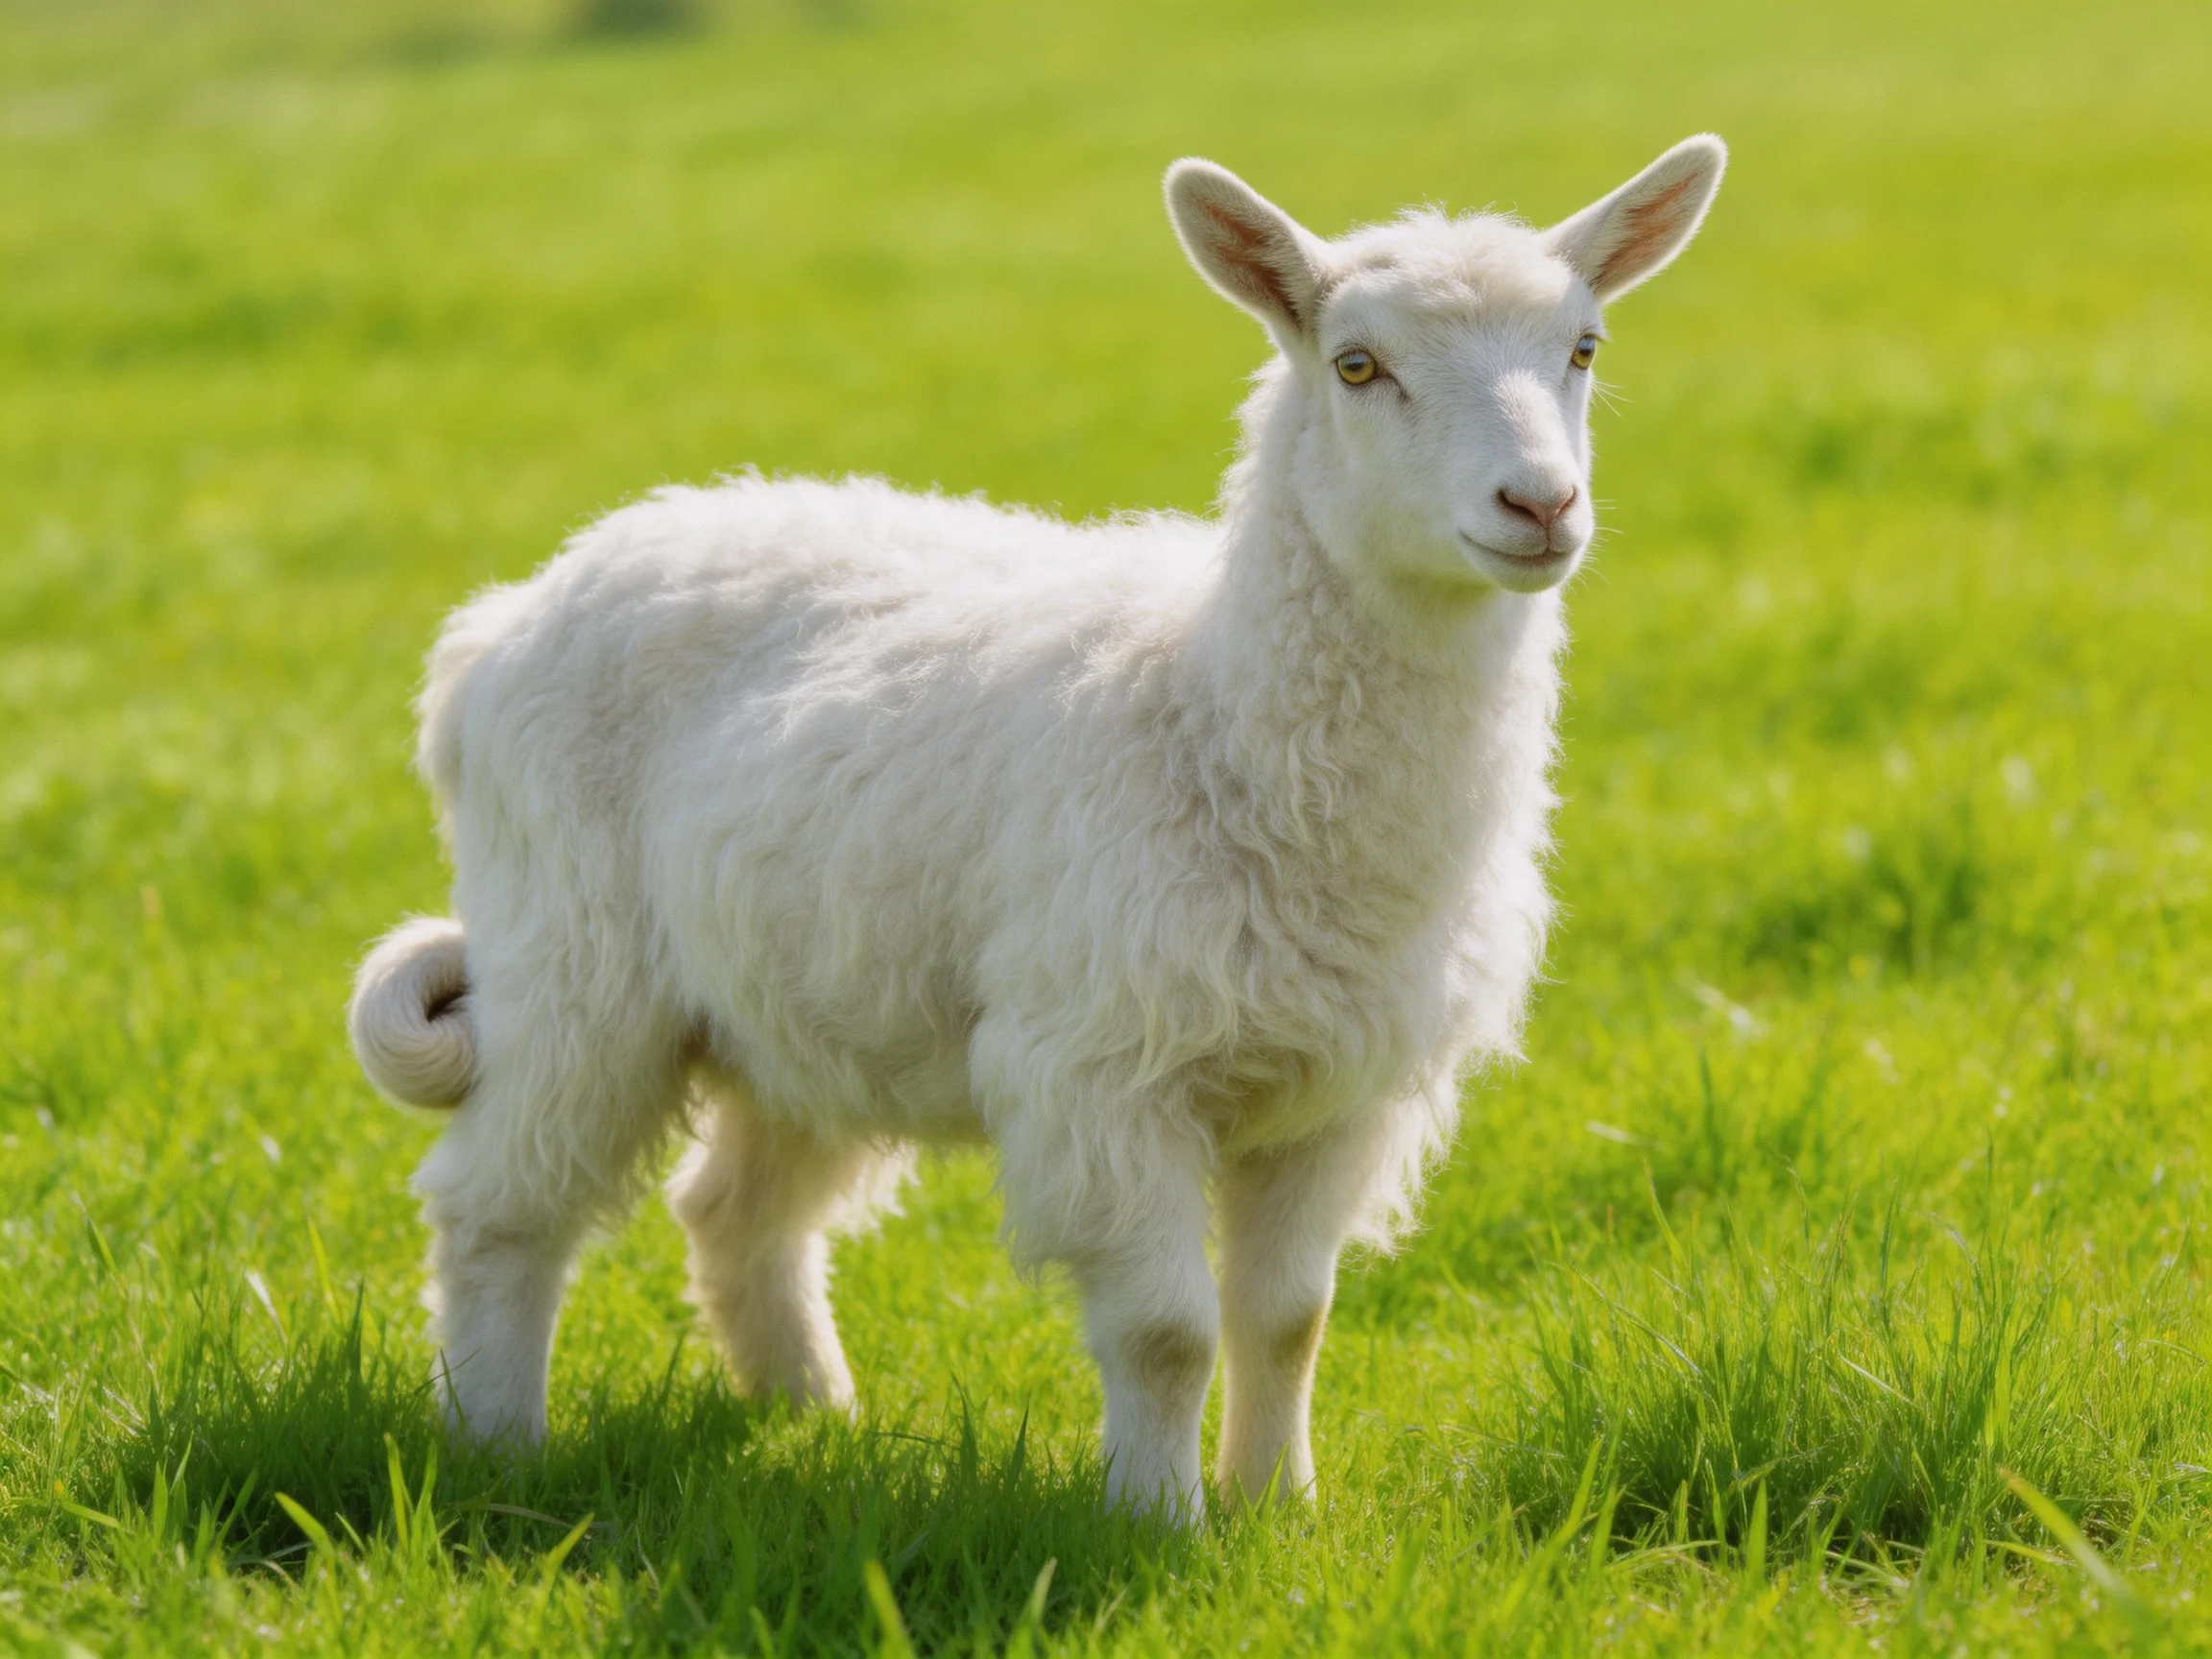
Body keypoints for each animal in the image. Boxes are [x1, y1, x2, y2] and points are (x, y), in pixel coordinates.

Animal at [349, 135, 1726, 1518]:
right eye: (1357, 365)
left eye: (1584, 347)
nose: (1539, 506)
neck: (1213, 713)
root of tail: (507, 615)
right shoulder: (1104, 1069)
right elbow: (1169, 1332)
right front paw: (1157, 1524)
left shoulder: (1339, 1091)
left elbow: (1288, 1317)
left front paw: (1277, 1510)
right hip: (577, 967)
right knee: (496, 1209)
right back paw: (496, 1448)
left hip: (800, 1002)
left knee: (735, 1211)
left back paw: (812, 1421)